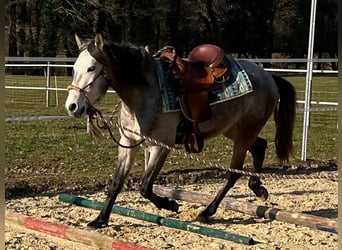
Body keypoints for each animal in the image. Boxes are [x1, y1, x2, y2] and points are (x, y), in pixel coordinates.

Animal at [65, 34, 296, 229]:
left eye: (92, 68)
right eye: (74, 68)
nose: (72, 106)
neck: (146, 92)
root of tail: (269, 77)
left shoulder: (160, 147)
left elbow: (145, 186)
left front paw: (170, 204)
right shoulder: (129, 143)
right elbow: (116, 184)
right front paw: (100, 220)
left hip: (244, 134)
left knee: (233, 173)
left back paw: (207, 212)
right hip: (235, 130)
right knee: (260, 146)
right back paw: (257, 187)